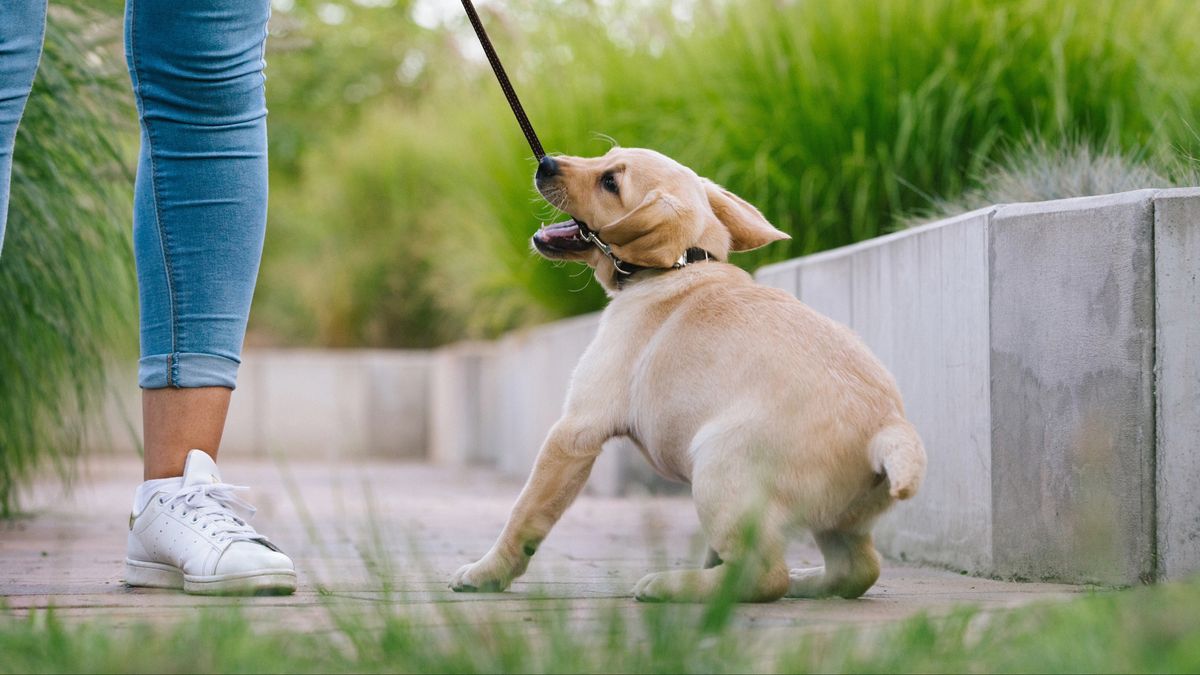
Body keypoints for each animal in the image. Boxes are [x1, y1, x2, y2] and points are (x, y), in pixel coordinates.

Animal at [451, 147, 926, 598]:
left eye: (610, 182)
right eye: (606, 156)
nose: (546, 162)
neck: (681, 263)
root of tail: (889, 427)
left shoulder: (575, 431)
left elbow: (525, 513)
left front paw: (486, 573)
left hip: (718, 466)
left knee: (765, 576)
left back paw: (674, 586)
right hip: (841, 516)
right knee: (856, 569)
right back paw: (803, 583)